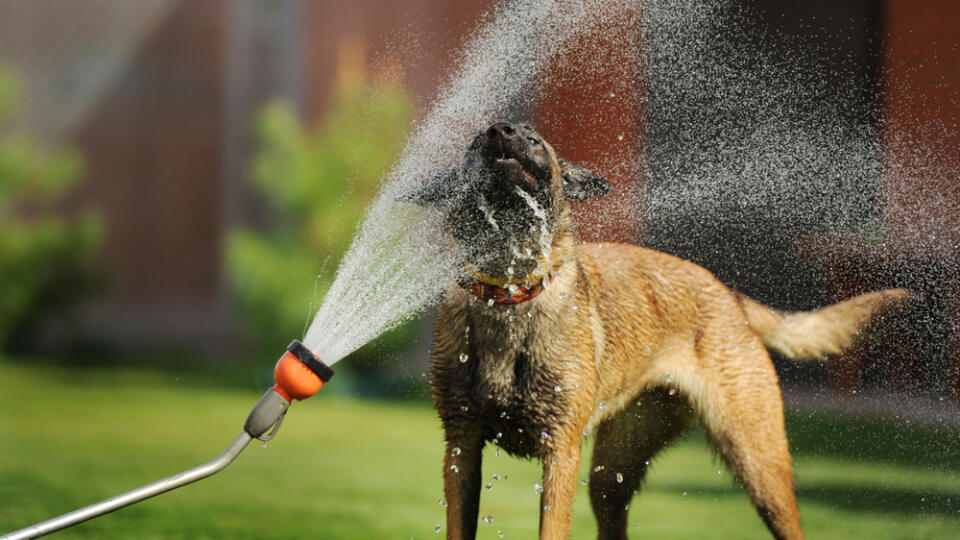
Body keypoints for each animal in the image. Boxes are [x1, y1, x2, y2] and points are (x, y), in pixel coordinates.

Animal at [402, 122, 912, 540]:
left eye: (533, 138)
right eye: (477, 140)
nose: (502, 131)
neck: (507, 287)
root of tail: (729, 294)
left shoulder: (559, 450)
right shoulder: (461, 445)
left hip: (758, 462)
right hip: (612, 472)